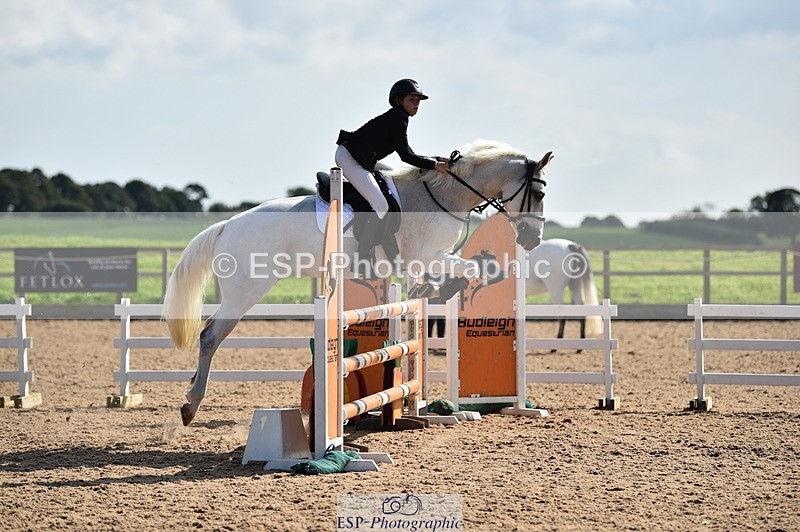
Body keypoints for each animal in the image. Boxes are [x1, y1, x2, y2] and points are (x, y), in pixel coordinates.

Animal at [163, 139, 552, 425]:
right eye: (540, 194)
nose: (532, 239)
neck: (443, 196)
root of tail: (227, 225)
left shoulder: (431, 258)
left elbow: (463, 273)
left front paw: (426, 290)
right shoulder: (427, 255)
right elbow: (470, 271)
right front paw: (432, 289)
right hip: (246, 291)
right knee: (210, 336)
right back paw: (190, 405)